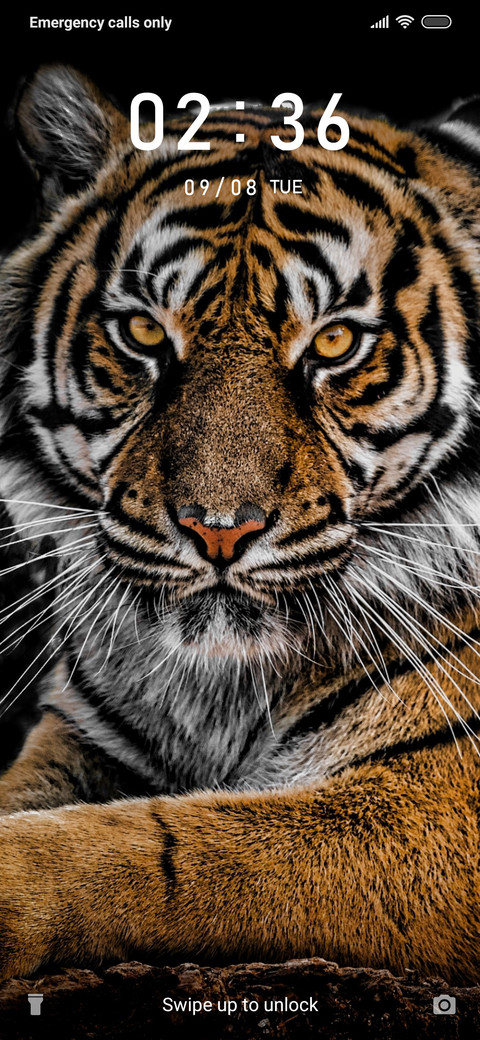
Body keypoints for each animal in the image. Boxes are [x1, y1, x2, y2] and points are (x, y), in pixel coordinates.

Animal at [0, 63, 480, 987]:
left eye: (334, 343)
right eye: (142, 331)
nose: (219, 529)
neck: (220, 688)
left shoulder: (442, 793)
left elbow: (174, 847)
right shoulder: (82, 738)